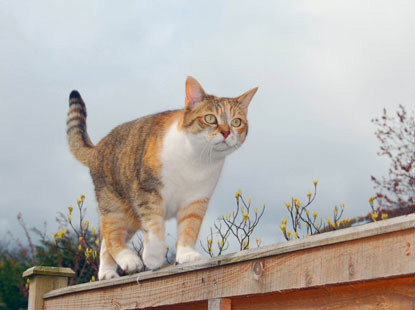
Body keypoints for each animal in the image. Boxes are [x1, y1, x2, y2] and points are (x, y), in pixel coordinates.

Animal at [66, 77, 256, 280]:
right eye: (210, 118)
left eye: (236, 122)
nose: (226, 132)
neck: (196, 159)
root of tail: (97, 148)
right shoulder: (148, 191)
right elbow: (155, 226)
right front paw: (154, 257)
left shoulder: (196, 200)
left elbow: (190, 227)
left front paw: (186, 254)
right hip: (115, 204)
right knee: (111, 235)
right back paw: (127, 260)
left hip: (131, 218)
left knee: (105, 243)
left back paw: (107, 272)